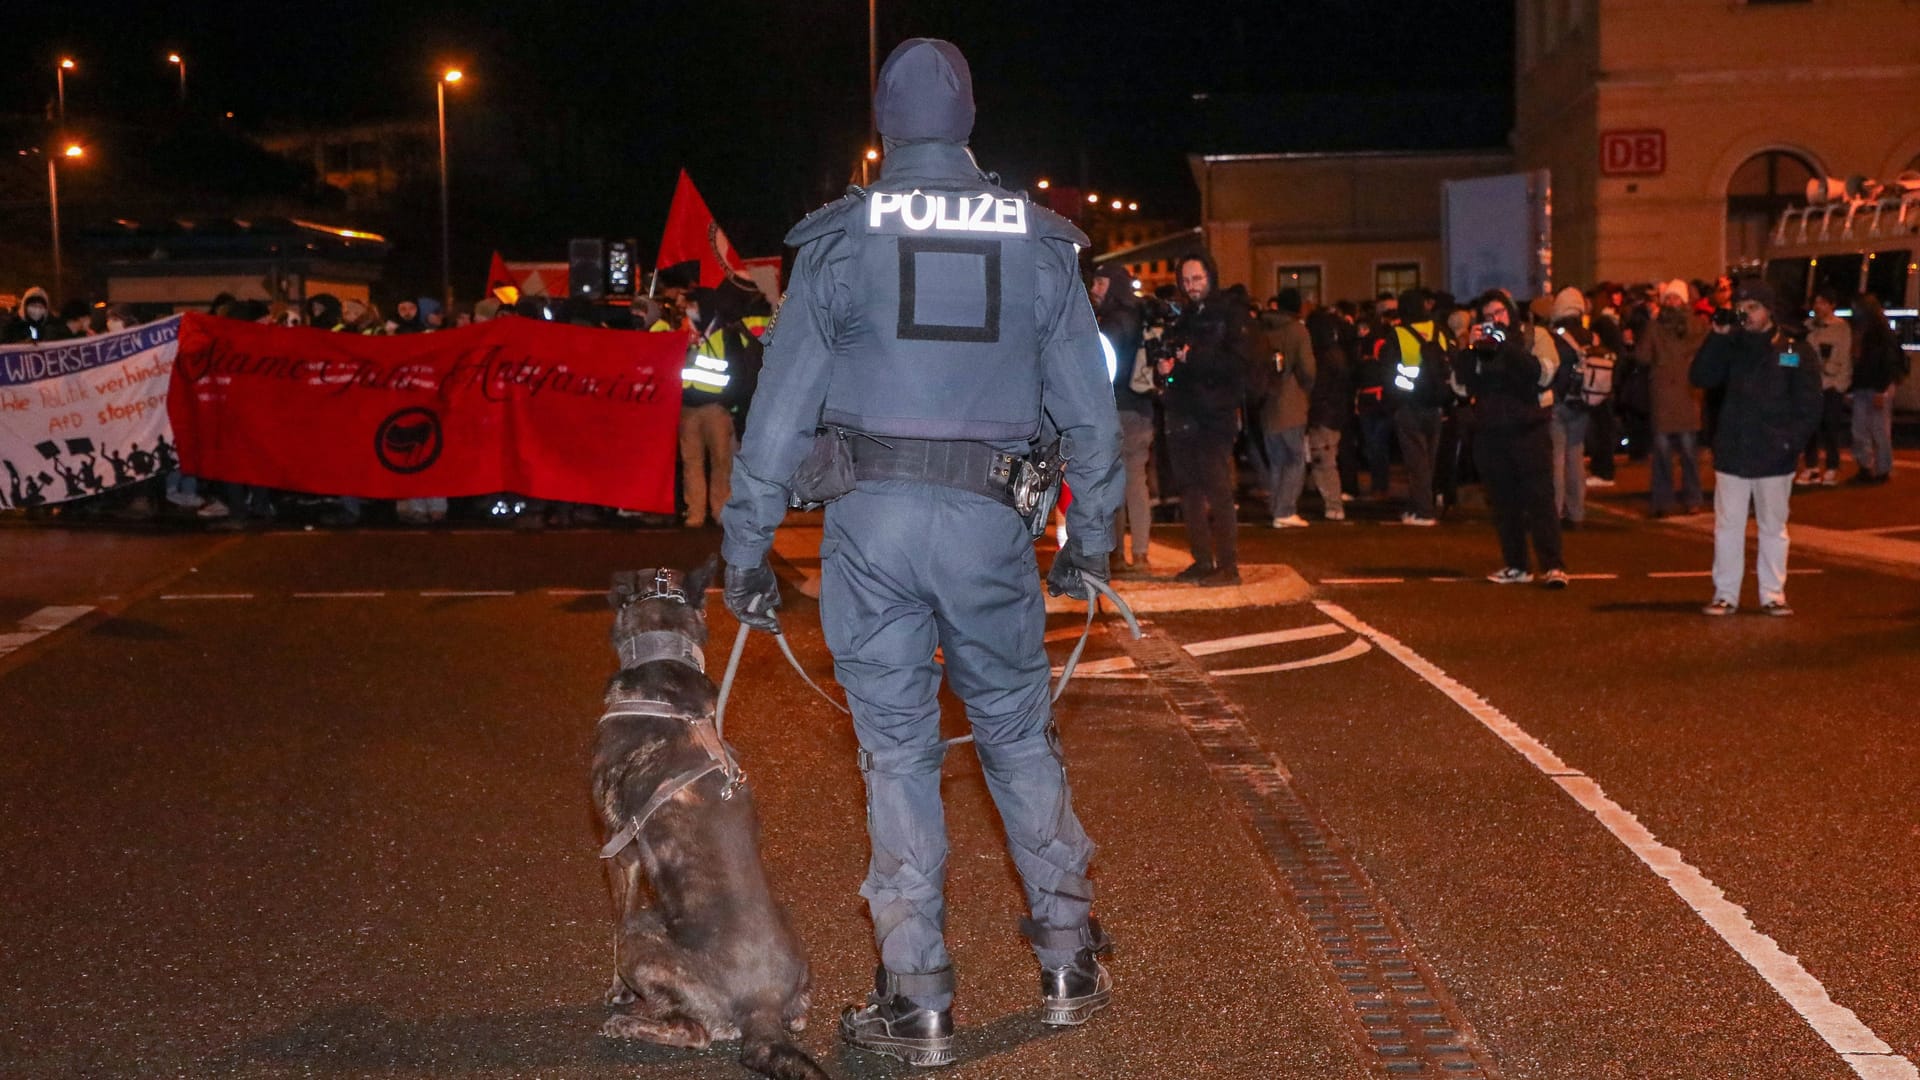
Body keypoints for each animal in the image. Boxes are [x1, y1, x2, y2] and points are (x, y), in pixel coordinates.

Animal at [587, 557, 821, 1076]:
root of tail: (763, 1007)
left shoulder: (619, 849)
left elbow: (614, 916)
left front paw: (617, 992)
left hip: (642, 937)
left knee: (692, 1031)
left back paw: (630, 1021)